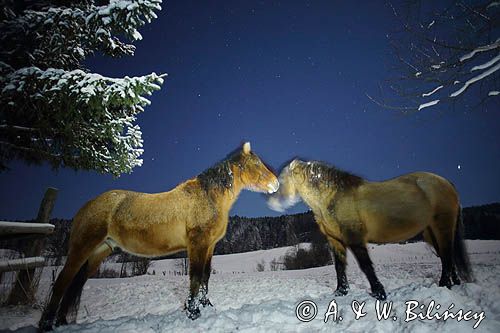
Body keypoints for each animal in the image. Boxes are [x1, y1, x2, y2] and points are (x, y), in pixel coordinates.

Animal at [39, 141, 280, 330]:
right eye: (256, 164)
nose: (276, 184)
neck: (207, 198)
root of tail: (87, 206)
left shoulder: (210, 246)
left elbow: (205, 278)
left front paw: (206, 307)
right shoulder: (197, 245)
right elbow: (195, 278)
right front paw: (193, 313)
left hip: (99, 252)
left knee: (74, 286)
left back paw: (61, 322)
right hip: (81, 249)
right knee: (62, 283)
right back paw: (47, 324)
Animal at [268, 160, 470, 300]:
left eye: (283, 179)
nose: (272, 201)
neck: (332, 198)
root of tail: (447, 183)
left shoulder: (354, 238)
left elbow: (365, 266)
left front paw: (379, 293)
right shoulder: (335, 241)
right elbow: (339, 267)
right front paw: (341, 292)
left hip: (442, 226)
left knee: (447, 255)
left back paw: (444, 284)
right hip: (431, 233)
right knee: (447, 256)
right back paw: (454, 283)